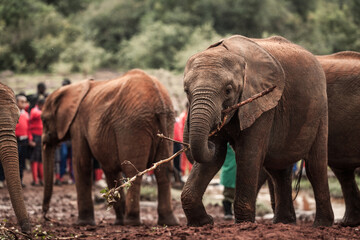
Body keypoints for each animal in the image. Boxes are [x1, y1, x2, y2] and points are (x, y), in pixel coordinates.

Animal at [41, 68, 179, 226]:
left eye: (43, 120)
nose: (46, 216)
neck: (72, 88)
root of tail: (159, 101)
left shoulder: (78, 124)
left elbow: (82, 164)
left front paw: (83, 223)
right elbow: (109, 168)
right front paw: (118, 222)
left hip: (132, 125)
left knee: (133, 171)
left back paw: (131, 222)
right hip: (167, 122)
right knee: (163, 171)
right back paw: (168, 222)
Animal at [180, 35, 334, 227]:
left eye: (228, 90)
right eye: (186, 90)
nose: (209, 141)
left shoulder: (263, 102)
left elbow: (248, 154)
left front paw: (244, 224)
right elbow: (215, 158)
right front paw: (204, 222)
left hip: (320, 110)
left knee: (315, 166)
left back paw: (321, 224)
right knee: (278, 169)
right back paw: (283, 222)